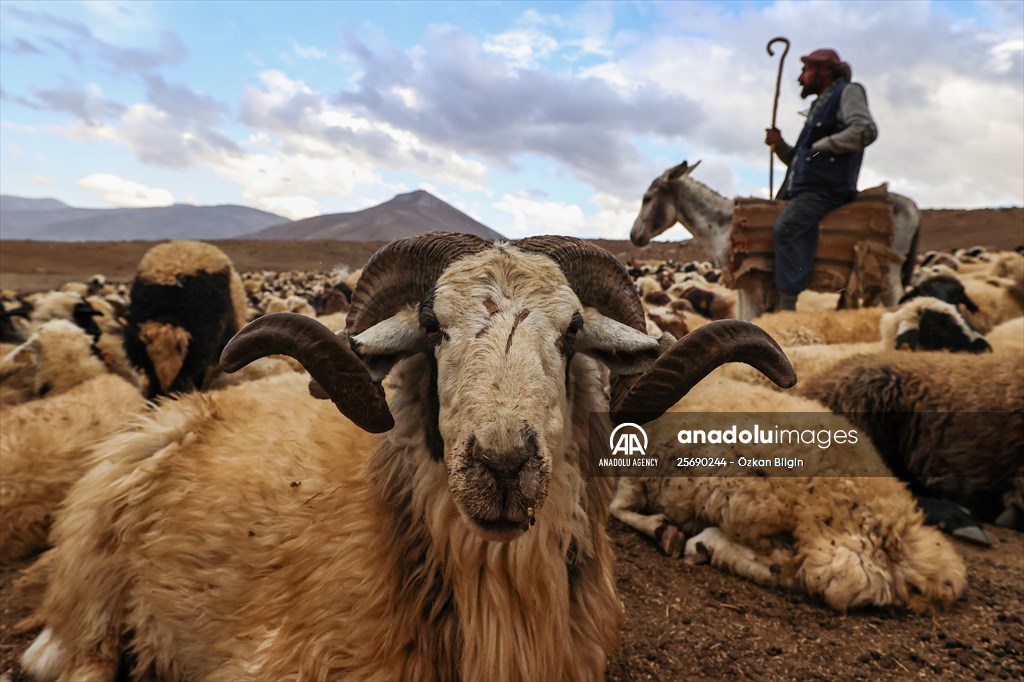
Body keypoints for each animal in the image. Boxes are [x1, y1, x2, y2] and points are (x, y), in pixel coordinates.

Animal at [606, 374, 966, 614]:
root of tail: (897, 537)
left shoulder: (636, 472)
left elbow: (618, 508)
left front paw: (664, 531)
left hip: (759, 503)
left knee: (800, 572)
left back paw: (704, 544)